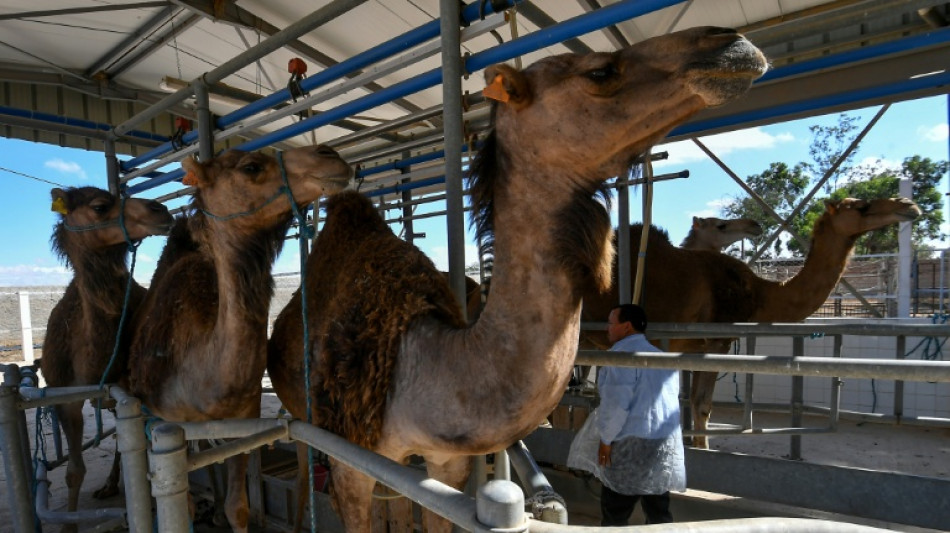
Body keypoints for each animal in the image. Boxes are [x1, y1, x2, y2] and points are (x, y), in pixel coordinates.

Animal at [40, 187, 172, 532]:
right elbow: (74, 471)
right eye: (100, 206)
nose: (161, 209)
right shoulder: (66, 397)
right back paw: (109, 485)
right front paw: (69, 525)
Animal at [127, 145, 352, 532]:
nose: (331, 155)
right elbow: (184, 505)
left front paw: (226, 511)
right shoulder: (162, 423)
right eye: (251, 166)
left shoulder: (245, 421)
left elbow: (239, 506)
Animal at [582, 197, 921, 449]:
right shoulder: (716, 342)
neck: (759, 293)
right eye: (861, 206)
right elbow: (702, 405)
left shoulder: (692, 347)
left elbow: (689, 404)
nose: (908, 205)